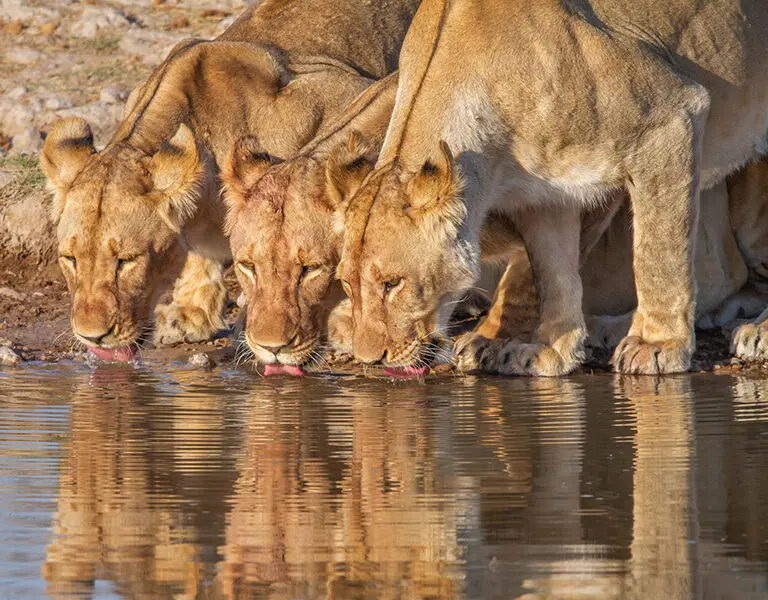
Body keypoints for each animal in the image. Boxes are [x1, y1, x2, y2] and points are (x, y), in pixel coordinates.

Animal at [335, 0, 768, 376]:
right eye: (345, 284)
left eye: (392, 284)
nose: (370, 359)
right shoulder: (544, 194)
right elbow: (550, 271)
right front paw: (548, 348)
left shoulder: (669, 117)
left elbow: (658, 253)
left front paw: (657, 345)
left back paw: (754, 333)